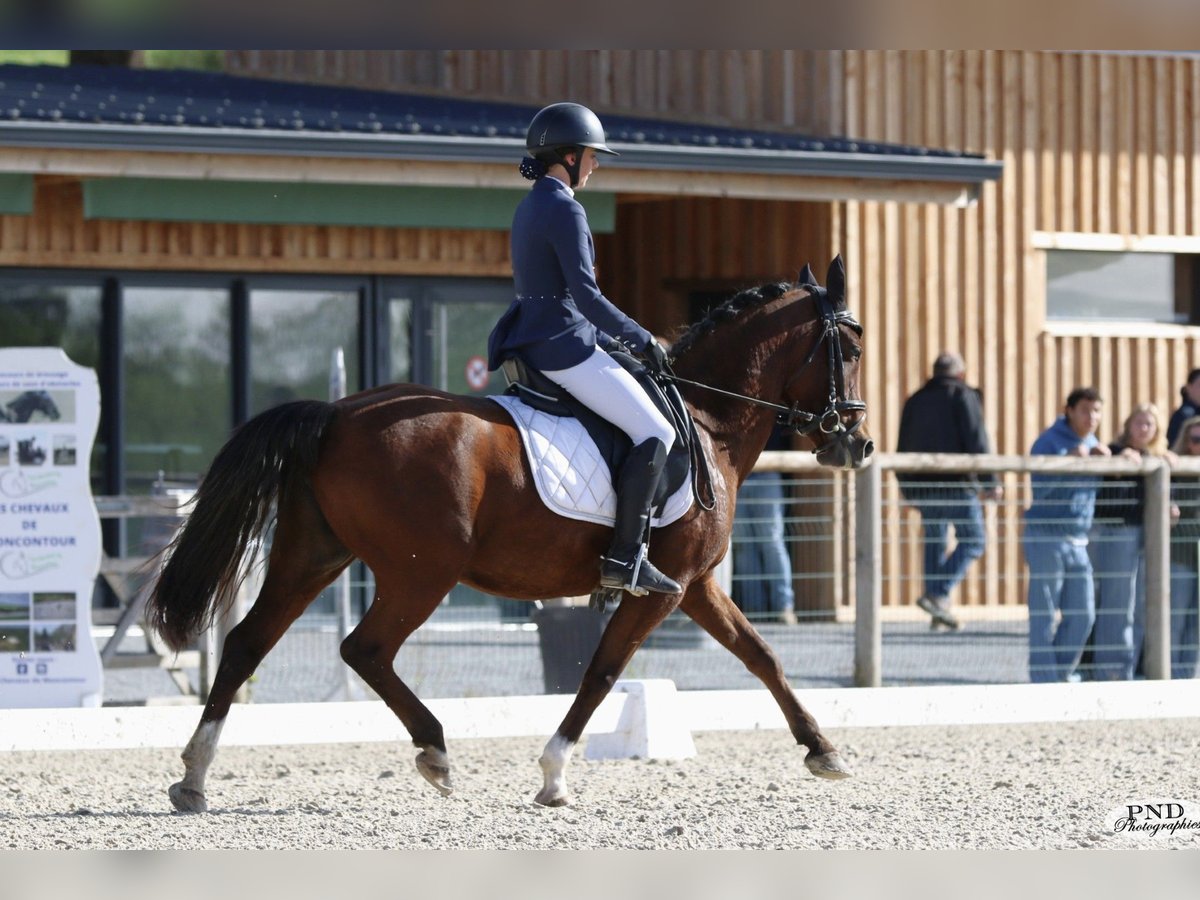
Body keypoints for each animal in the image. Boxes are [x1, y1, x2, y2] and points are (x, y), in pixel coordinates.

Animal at [145, 256, 873, 812]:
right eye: (853, 346)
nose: (858, 444)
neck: (707, 418)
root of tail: (334, 415)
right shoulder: (660, 590)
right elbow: (603, 672)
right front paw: (553, 775)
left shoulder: (693, 586)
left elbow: (762, 656)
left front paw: (824, 750)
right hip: (422, 571)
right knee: (365, 650)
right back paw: (436, 752)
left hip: (314, 555)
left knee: (247, 644)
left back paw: (194, 779)